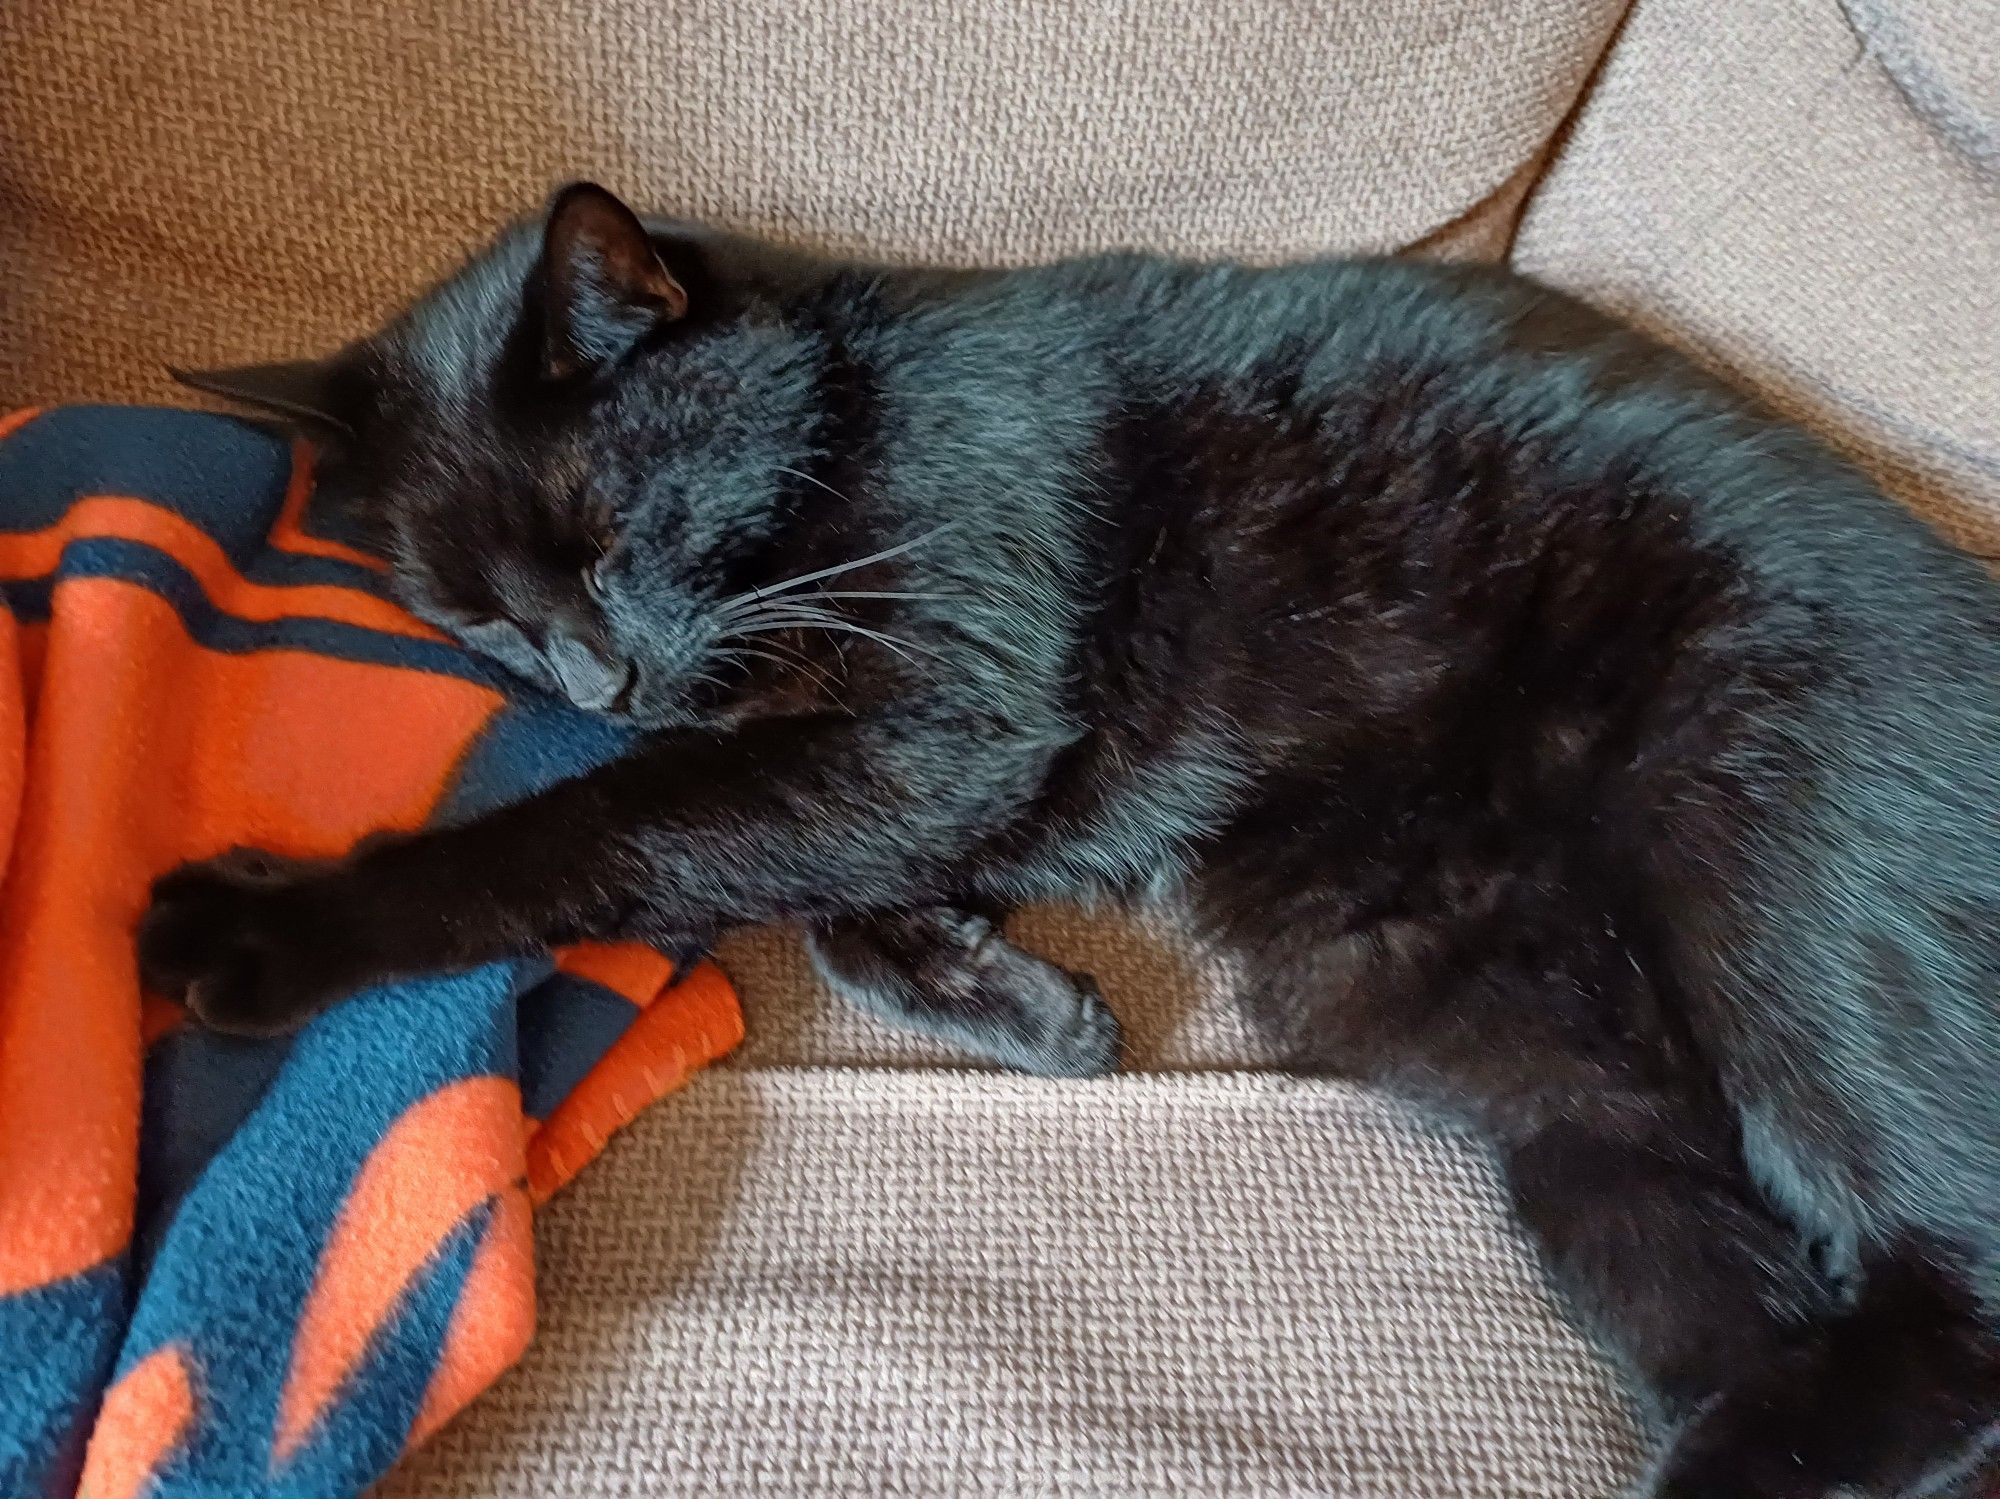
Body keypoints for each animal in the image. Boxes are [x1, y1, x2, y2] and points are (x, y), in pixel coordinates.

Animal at [152, 181, 2000, 1495]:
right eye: (473, 616)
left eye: (607, 535)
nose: (596, 679)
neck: (848, 422)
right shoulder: (964, 773)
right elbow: (818, 891)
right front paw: (1027, 1006)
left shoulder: (952, 718)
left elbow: (606, 827)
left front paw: (267, 929)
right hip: (1534, 1062)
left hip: (1778, 910)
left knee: (1955, 1294)